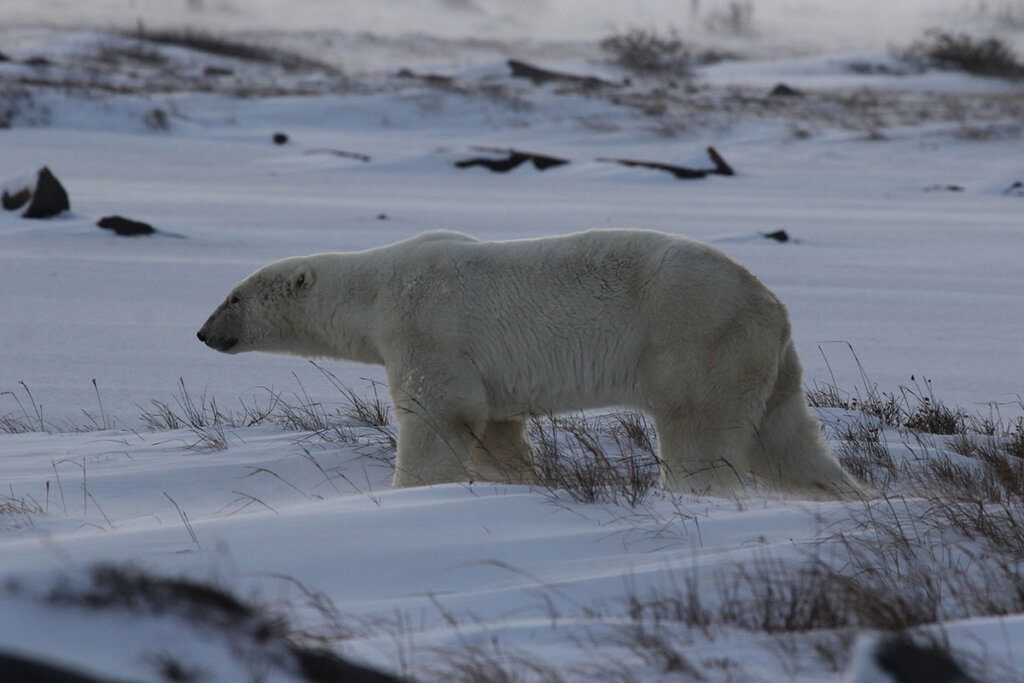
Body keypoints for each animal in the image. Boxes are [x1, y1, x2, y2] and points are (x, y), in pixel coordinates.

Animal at [195, 232, 860, 499]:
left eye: (234, 296)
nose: (203, 333)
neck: (376, 285)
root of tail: (771, 303)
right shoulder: (487, 375)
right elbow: (497, 431)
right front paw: (518, 481)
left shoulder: (424, 323)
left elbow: (436, 412)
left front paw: (409, 489)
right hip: (766, 359)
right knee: (786, 438)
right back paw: (846, 493)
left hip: (696, 337)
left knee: (699, 431)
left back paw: (692, 492)